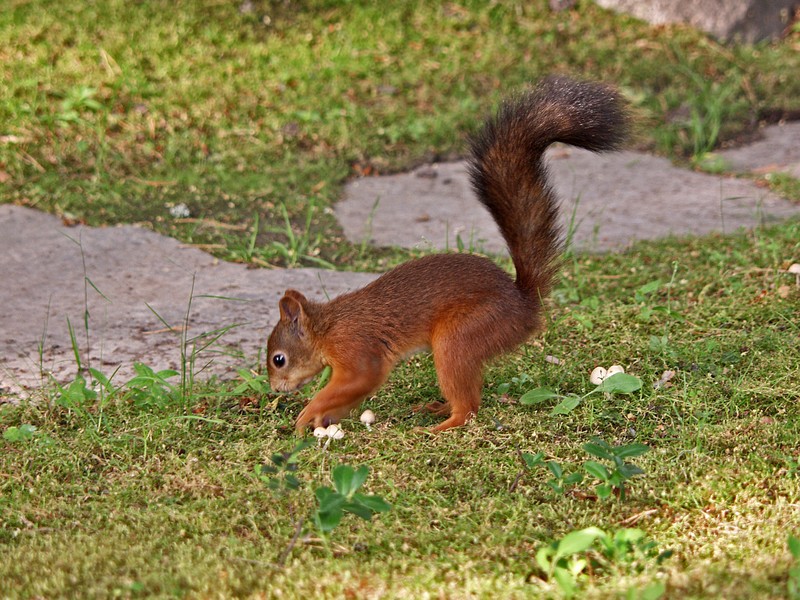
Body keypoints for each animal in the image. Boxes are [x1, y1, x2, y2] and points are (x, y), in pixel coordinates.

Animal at [266, 76, 628, 432]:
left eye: (278, 359)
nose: (275, 389)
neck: (327, 327)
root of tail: (525, 305)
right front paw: (323, 419)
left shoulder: (356, 349)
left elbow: (361, 378)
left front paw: (308, 414)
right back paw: (436, 408)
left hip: (460, 337)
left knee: (468, 407)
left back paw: (441, 426)